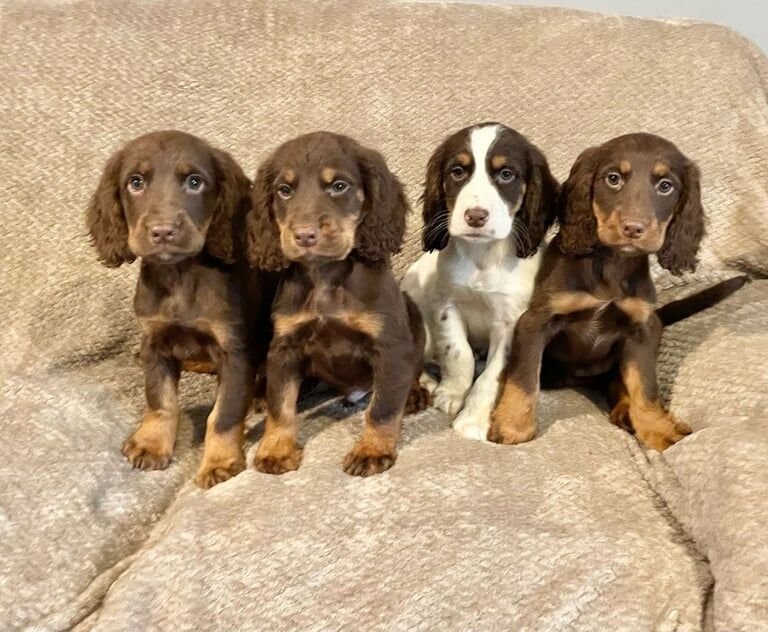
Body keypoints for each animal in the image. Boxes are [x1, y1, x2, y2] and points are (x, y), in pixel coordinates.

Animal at [86, 131, 272, 488]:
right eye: (135, 182)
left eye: (194, 182)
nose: (162, 231)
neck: (179, 276)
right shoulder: (155, 342)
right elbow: (160, 400)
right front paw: (151, 443)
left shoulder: (235, 350)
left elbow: (224, 414)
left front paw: (219, 461)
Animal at [246, 135, 426, 478]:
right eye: (284, 190)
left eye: (339, 186)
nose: (305, 235)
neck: (324, 275)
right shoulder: (285, 347)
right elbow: (280, 405)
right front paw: (276, 449)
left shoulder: (390, 346)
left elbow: (383, 407)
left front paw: (371, 450)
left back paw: (413, 394)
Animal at [402, 122, 560, 440]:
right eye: (457, 171)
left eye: (506, 174)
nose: (475, 216)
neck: (482, 258)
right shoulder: (446, 305)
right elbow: (457, 352)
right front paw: (451, 393)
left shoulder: (511, 322)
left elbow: (491, 375)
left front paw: (473, 419)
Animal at [488, 132, 736, 450]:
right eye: (613, 179)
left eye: (666, 186)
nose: (633, 228)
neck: (613, 265)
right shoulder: (536, 321)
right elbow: (525, 376)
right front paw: (513, 424)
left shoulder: (642, 328)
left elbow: (645, 384)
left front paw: (658, 429)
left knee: (619, 382)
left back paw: (625, 411)